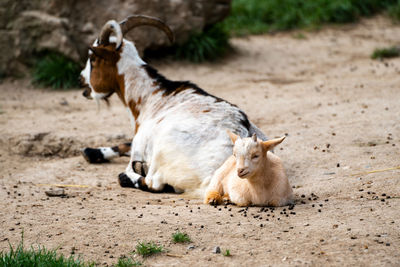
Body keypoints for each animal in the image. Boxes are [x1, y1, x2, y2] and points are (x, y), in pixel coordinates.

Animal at [79, 16, 268, 197]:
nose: (81, 81)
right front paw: (91, 152)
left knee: (150, 182)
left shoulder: (141, 143)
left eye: (92, 59)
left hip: (163, 148)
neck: (153, 97)